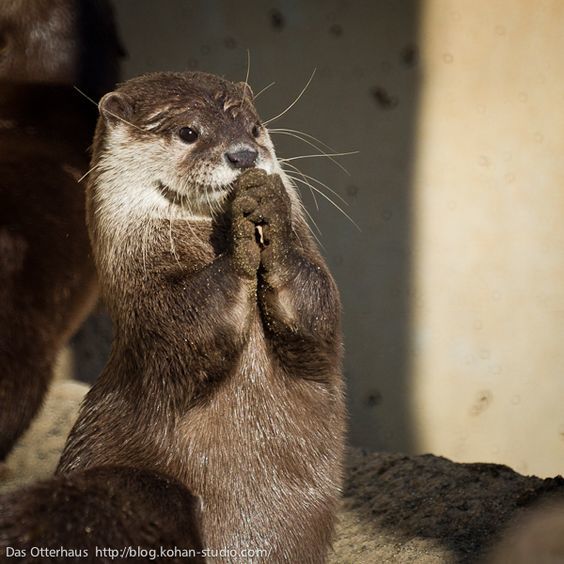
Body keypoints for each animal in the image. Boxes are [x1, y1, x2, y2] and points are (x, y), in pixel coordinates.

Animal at [58, 72, 348, 560]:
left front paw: (269, 207)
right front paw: (240, 242)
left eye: (254, 128)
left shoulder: (316, 315)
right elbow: (192, 325)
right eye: (188, 132)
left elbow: (317, 312)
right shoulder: (151, 309)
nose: (244, 155)